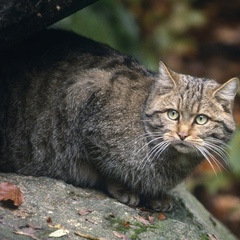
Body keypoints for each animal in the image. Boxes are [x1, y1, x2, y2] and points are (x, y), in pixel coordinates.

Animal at [0, 29, 238, 210]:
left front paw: (155, 194)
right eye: (173, 114)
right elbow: (107, 169)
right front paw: (125, 188)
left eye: (201, 119)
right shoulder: (82, 98)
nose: (182, 134)